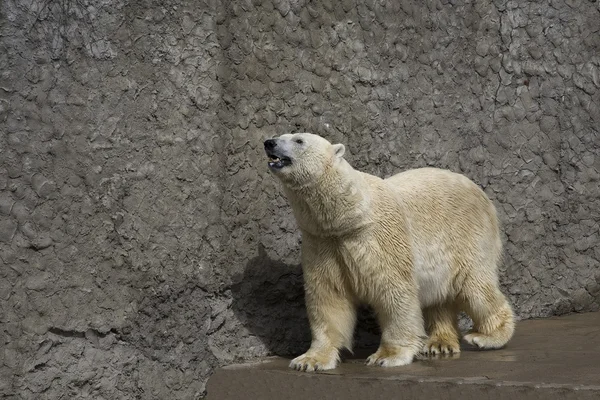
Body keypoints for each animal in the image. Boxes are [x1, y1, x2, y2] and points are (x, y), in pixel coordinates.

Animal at [262, 133, 516, 370]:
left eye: (298, 140)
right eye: (281, 135)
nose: (269, 142)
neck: (348, 217)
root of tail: (481, 193)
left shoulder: (380, 238)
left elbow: (394, 291)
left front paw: (387, 356)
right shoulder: (322, 242)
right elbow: (328, 296)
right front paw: (309, 360)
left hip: (468, 236)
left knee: (475, 287)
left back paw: (486, 337)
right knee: (439, 296)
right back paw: (439, 343)